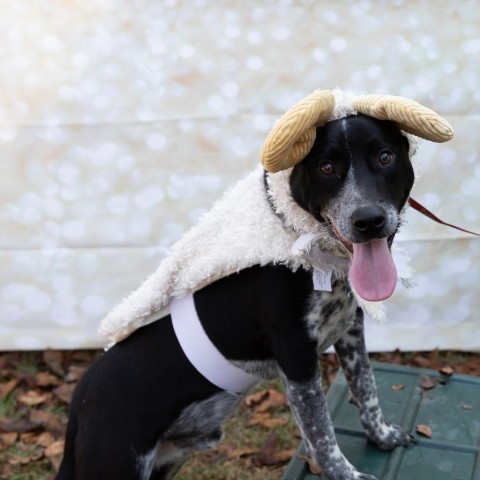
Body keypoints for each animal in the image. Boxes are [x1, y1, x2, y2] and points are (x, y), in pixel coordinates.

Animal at [56, 113, 414, 480]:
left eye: (385, 157)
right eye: (326, 167)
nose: (368, 221)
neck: (319, 263)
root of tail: (78, 408)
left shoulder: (350, 328)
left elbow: (366, 386)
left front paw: (382, 435)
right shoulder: (297, 357)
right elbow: (321, 432)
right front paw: (346, 475)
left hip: (167, 461)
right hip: (117, 463)